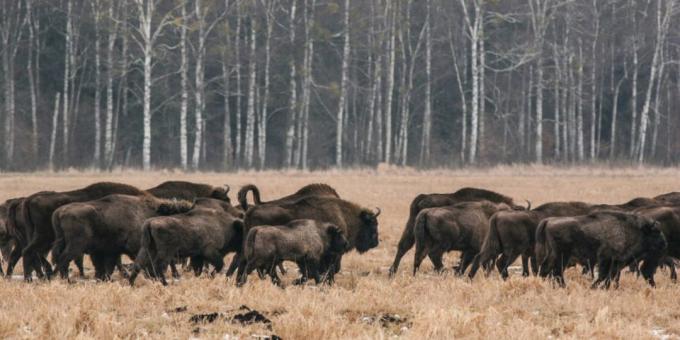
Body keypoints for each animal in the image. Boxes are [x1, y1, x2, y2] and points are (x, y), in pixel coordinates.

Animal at [388, 187, 524, 278]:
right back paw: (443, 272)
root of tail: (422, 198)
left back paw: (394, 272)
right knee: (431, 255)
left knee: (407, 249)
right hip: (440, 244)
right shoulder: (475, 247)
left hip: (415, 234)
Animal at [532, 211, 668, 288]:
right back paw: (564, 287)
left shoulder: (615, 262)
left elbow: (610, 276)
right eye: (656, 232)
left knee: (546, 270)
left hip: (553, 254)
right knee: (556, 272)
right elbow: (603, 275)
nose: (664, 243)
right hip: (562, 256)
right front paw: (594, 287)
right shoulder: (606, 258)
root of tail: (548, 220)